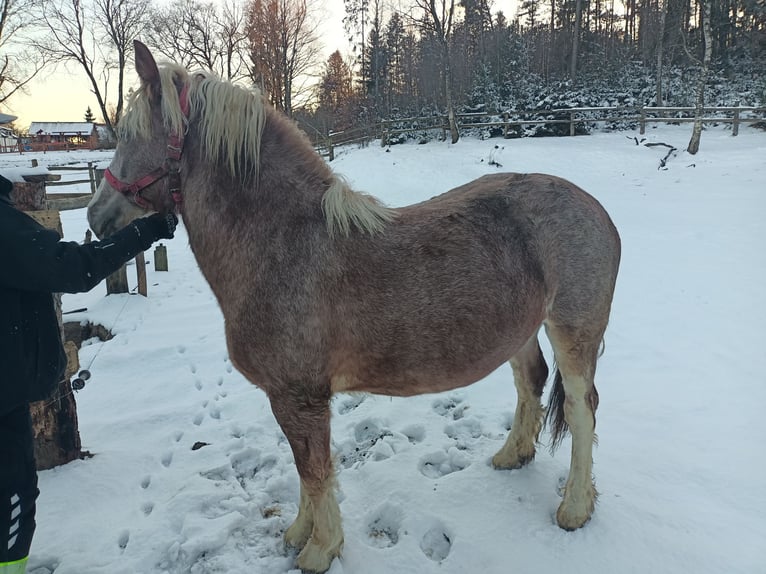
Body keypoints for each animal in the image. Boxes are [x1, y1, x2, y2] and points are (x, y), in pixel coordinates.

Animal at [87, 41, 620, 574]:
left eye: (131, 135)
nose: (95, 216)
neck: (283, 244)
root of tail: (594, 207)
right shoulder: (291, 398)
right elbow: (306, 471)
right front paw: (298, 533)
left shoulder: (300, 397)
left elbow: (314, 470)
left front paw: (319, 549)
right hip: (520, 330)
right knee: (530, 382)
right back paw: (513, 455)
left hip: (574, 332)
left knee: (581, 408)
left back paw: (574, 508)